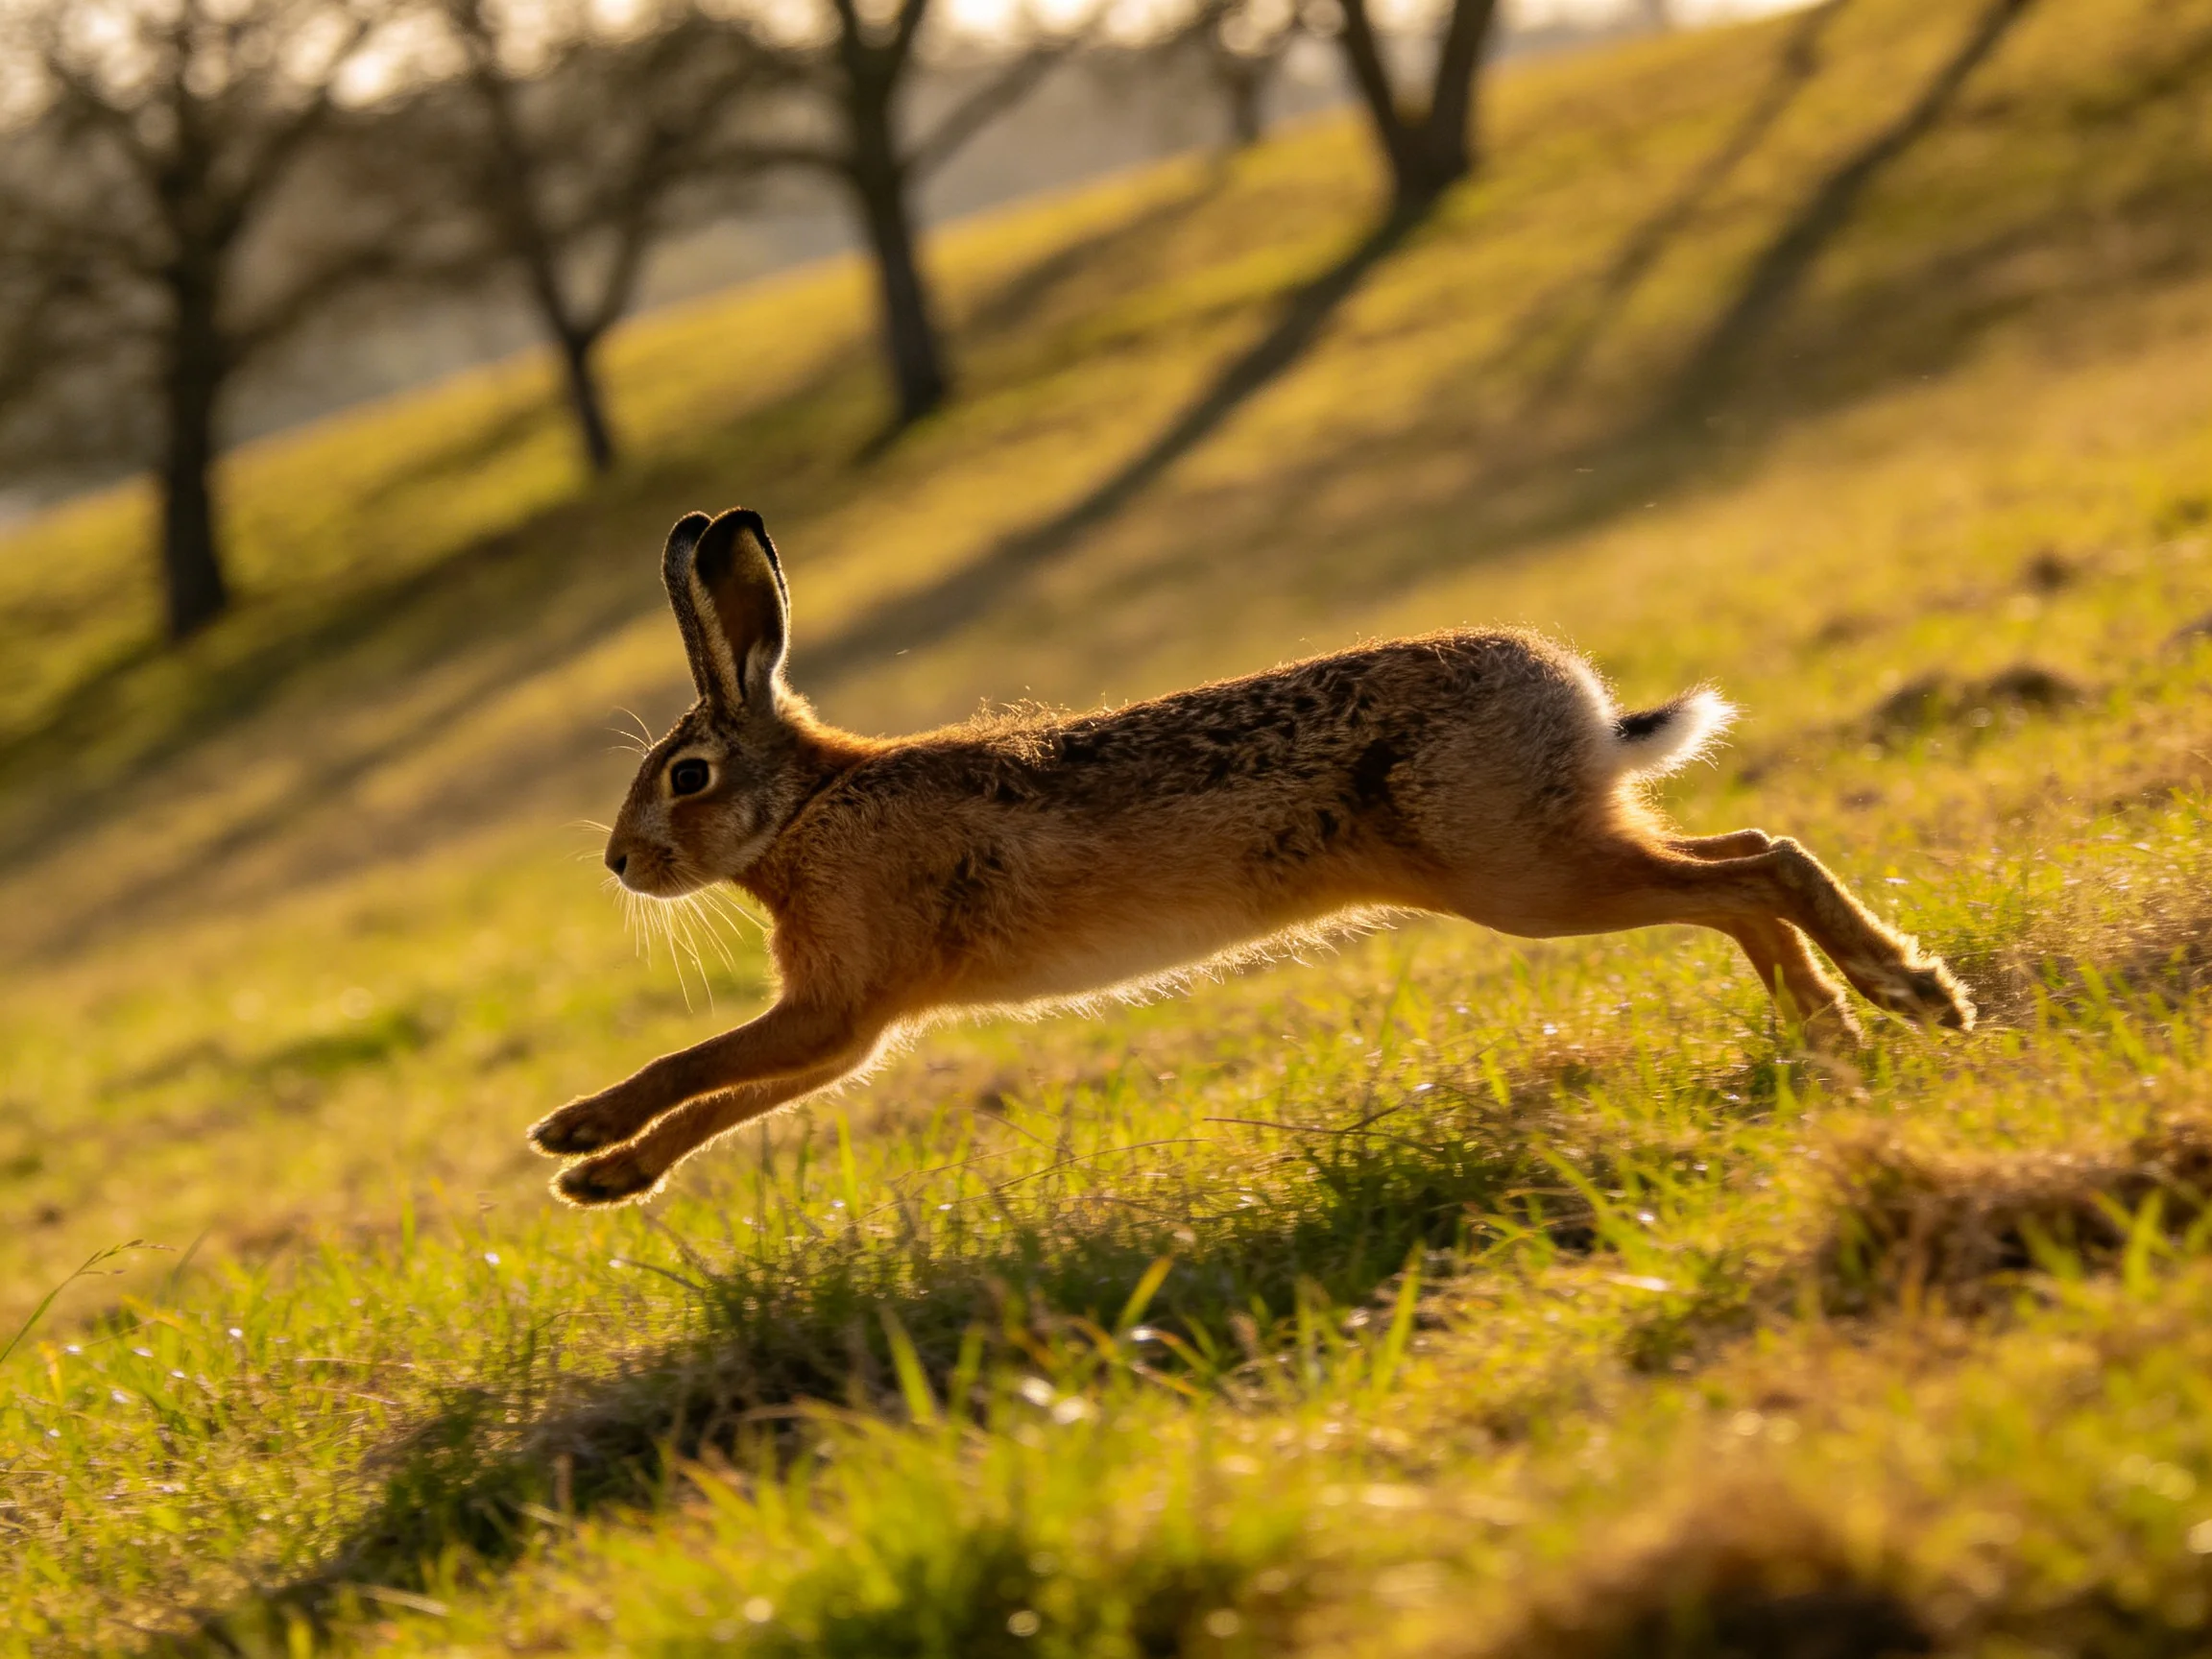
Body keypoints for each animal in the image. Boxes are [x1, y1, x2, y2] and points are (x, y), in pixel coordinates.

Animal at [531, 508, 1973, 1204]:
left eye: (686, 777)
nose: (620, 867)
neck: (808, 808)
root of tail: (1575, 701)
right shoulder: (851, 1025)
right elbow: (729, 1101)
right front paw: (602, 1176)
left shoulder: (840, 1002)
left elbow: (697, 1069)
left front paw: (576, 1136)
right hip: (1565, 851)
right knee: (1742, 872)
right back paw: (1836, 1035)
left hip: (1529, 878)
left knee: (1759, 869)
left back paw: (1911, 997)